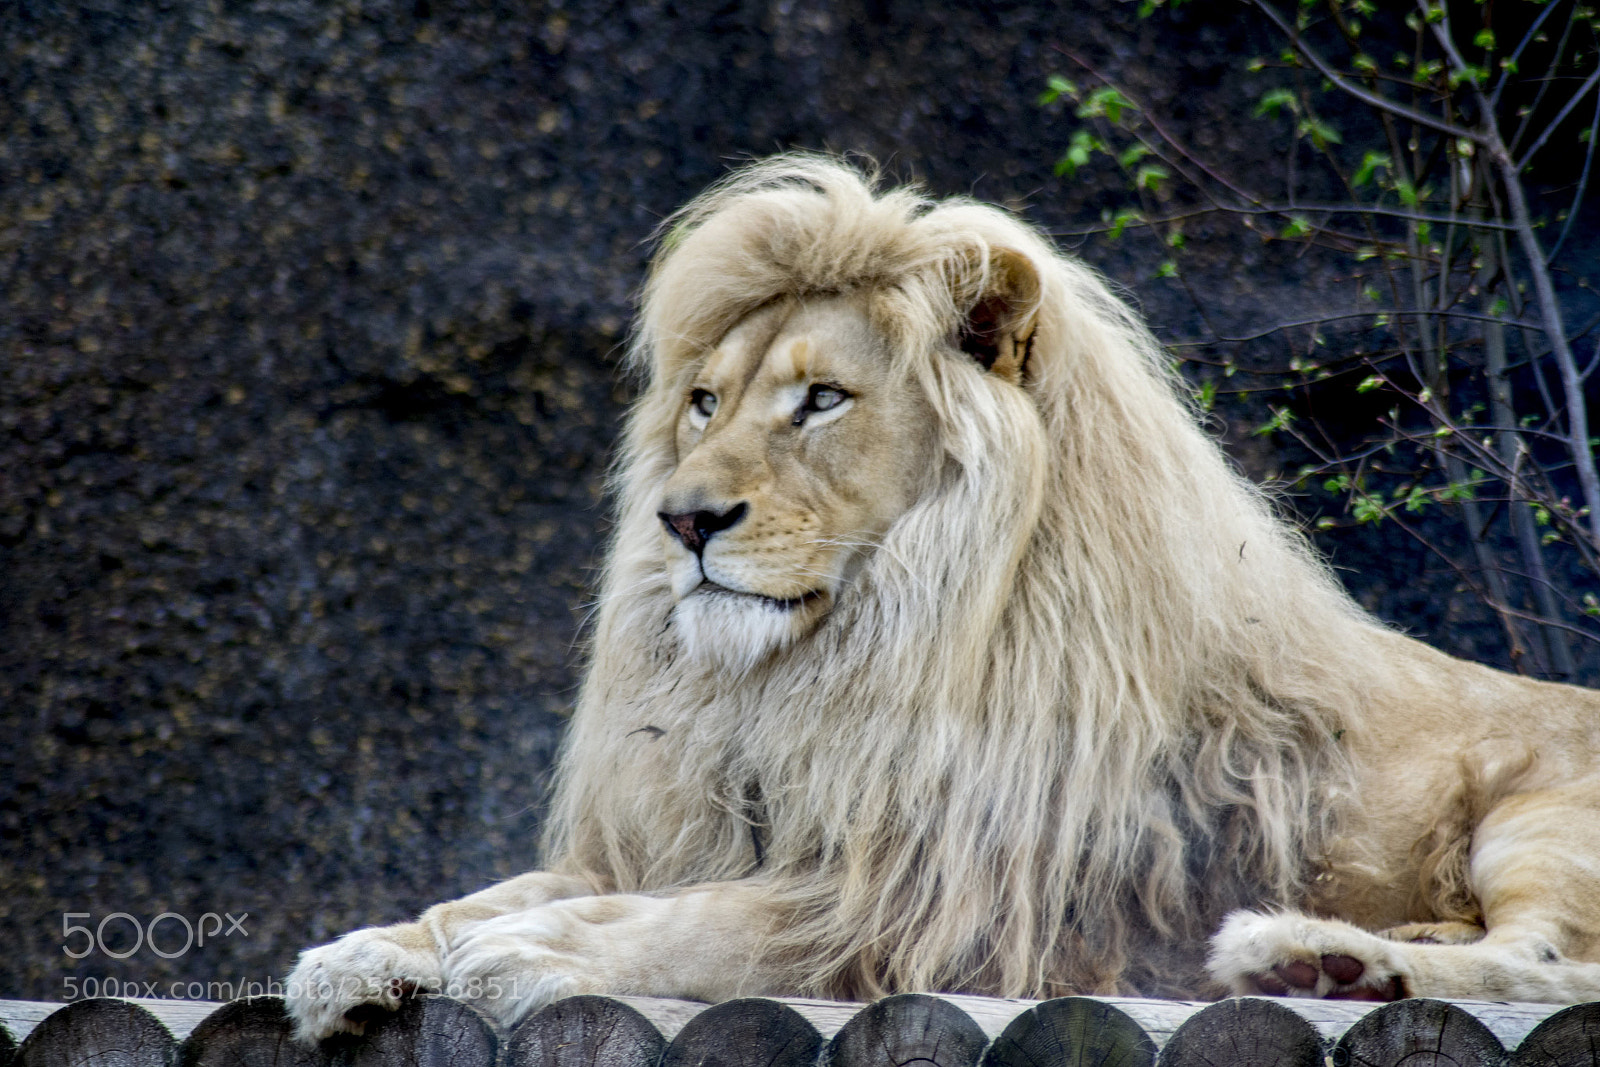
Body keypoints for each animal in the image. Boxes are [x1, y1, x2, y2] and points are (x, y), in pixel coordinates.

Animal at [285, 155, 1600, 1042]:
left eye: (821, 399)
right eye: (704, 403)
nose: (683, 520)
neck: (831, 665)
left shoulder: (932, 905)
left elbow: (702, 924)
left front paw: (520, 953)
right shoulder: (725, 832)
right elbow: (518, 885)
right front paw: (366, 949)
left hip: (1541, 818)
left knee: (1547, 962)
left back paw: (1305, 954)